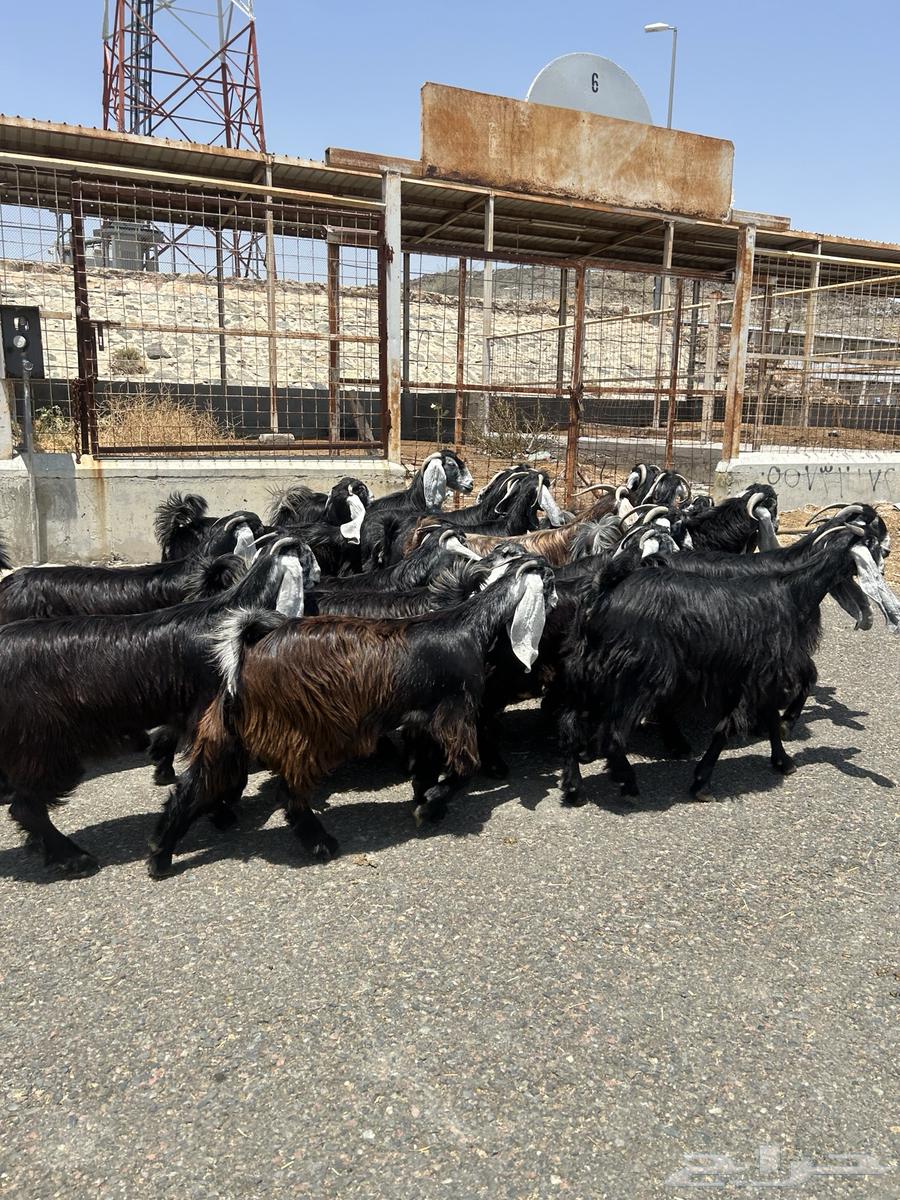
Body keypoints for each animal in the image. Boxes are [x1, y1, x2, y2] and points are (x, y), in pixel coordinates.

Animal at [0, 538, 318, 877]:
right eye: (310, 555)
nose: (320, 577)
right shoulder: (215, 717)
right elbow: (223, 774)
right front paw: (216, 815)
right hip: (45, 746)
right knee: (26, 807)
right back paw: (72, 857)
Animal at [147, 557, 556, 876]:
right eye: (549, 579)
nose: (556, 598)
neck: (471, 625)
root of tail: (249, 646)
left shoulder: (421, 719)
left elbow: (426, 765)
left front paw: (427, 801)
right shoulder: (454, 712)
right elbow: (465, 767)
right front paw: (431, 806)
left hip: (226, 734)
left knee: (193, 788)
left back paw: (160, 857)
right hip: (297, 730)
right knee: (288, 793)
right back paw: (321, 843)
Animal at [555, 527, 899, 808]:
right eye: (870, 542)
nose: (887, 554)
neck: (794, 591)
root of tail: (604, 591)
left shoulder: (754, 677)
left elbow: (767, 719)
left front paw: (782, 761)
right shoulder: (754, 678)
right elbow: (727, 729)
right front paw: (701, 782)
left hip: (588, 672)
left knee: (570, 726)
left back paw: (575, 788)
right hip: (637, 676)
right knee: (613, 735)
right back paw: (628, 781)